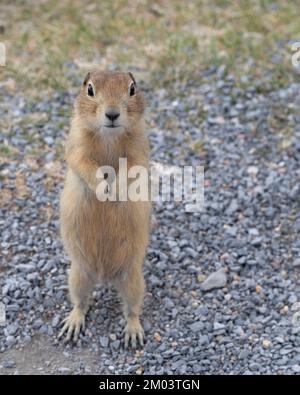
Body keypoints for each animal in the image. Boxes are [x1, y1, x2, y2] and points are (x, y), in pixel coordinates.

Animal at [59, 69, 151, 348]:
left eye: (132, 89)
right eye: (89, 89)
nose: (112, 114)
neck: (109, 135)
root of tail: (105, 276)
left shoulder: (139, 147)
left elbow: (133, 166)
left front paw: (116, 189)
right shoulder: (76, 142)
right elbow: (83, 162)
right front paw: (103, 188)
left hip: (133, 279)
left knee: (132, 308)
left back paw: (133, 333)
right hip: (77, 275)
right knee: (80, 302)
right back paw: (72, 325)